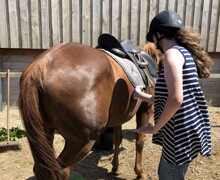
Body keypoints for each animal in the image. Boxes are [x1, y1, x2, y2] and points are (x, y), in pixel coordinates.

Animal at [18, 41, 159, 179]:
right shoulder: (144, 109)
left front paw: (115, 167)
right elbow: (139, 142)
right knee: (62, 171)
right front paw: (140, 172)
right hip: (82, 141)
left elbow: (117, 139)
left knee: (41, 170)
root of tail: (43, 63)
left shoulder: (119, 117)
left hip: (44, 134)